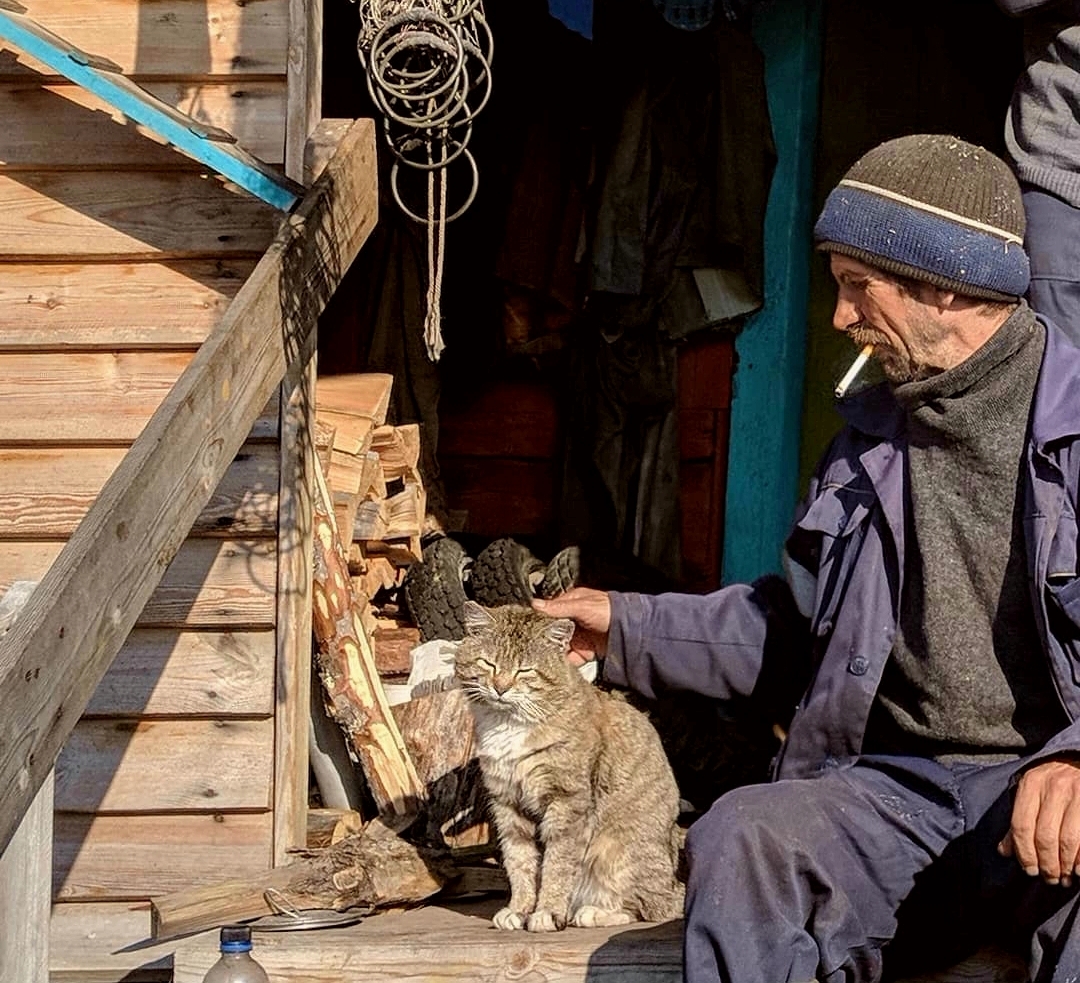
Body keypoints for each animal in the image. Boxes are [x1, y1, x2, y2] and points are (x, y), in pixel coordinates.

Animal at [455, 600, 682, 933]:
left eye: (525, 670)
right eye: (489, 664)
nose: (500, 688)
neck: (508, 724)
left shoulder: (567, 801)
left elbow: (557, 864)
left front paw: (547, 912)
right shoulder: (507, 803)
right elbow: (520, 862)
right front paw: (519, 909)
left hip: (618, 850)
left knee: (651, 909)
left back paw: (592, 913)